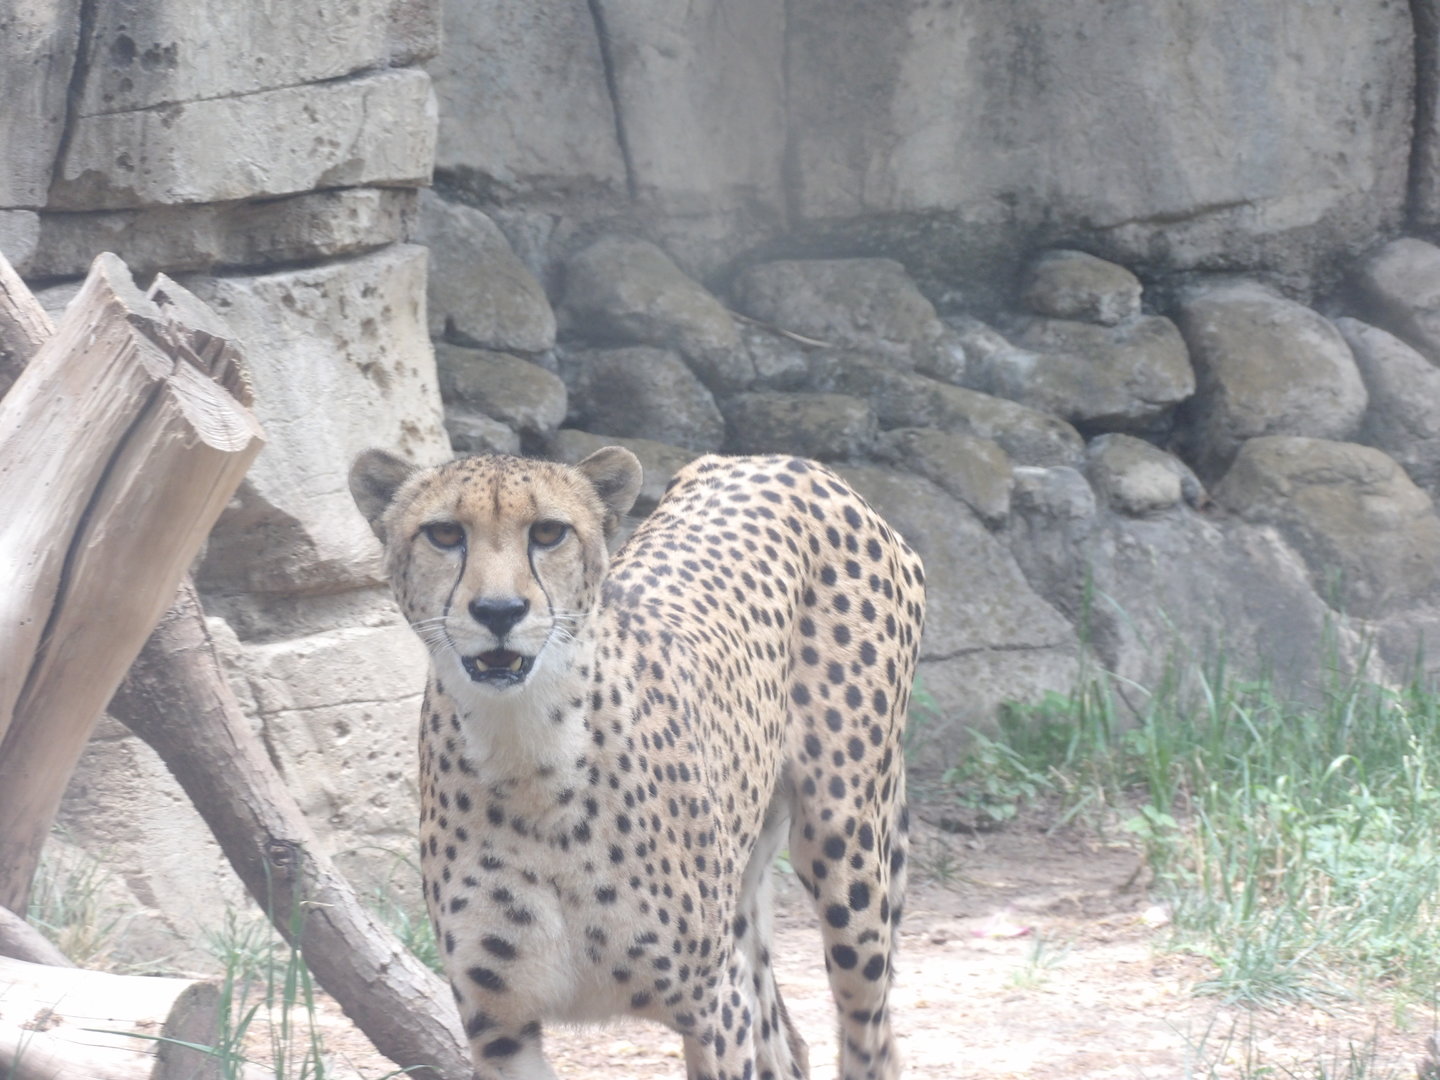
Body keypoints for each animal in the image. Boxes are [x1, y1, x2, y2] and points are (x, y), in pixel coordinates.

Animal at [350, 445, 926, 1080]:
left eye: (548, 532)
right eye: (445, 533)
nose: (499, 610)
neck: (528, 758)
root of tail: (778, 459)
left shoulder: (714, 1004)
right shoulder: (499, 1025)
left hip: (846, 852)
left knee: (872, 1038)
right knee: (786, 1040)